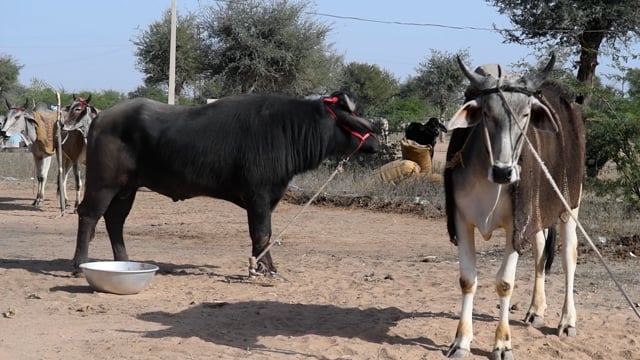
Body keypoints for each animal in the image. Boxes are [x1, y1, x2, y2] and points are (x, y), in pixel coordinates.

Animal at [71, 91, 380, 274]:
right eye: (352, 117)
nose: (376, 142)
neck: (286, 130)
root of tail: (101, 118)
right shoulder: (258, 195)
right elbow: (262, 233)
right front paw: (263, 269)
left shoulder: (264, 199)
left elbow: (262, 235)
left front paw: (262, 265)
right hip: (103, 184)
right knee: (88, 215)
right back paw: (79, 263)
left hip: (126, 190)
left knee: (115, 220)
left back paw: (123, 259)